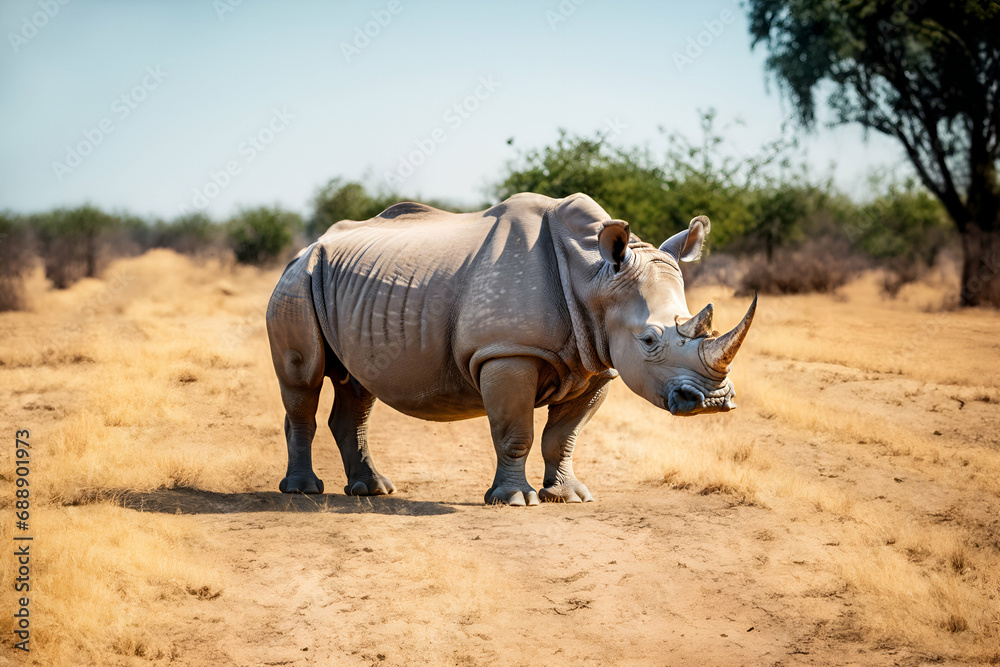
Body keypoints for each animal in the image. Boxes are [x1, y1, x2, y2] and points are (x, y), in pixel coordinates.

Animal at [265, 192, 755, 505]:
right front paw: (514, 500)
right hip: (296, 283)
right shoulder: (506, 352)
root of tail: (304, 248)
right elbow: (515, 431)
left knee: (357, 386)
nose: (712, 401)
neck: (594, 277)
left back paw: (373, 490)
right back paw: (304, 491)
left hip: (345, 290)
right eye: (650, 340)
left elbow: (564, 436)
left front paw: (569, 497)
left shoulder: (598, 362)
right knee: (303, 381)